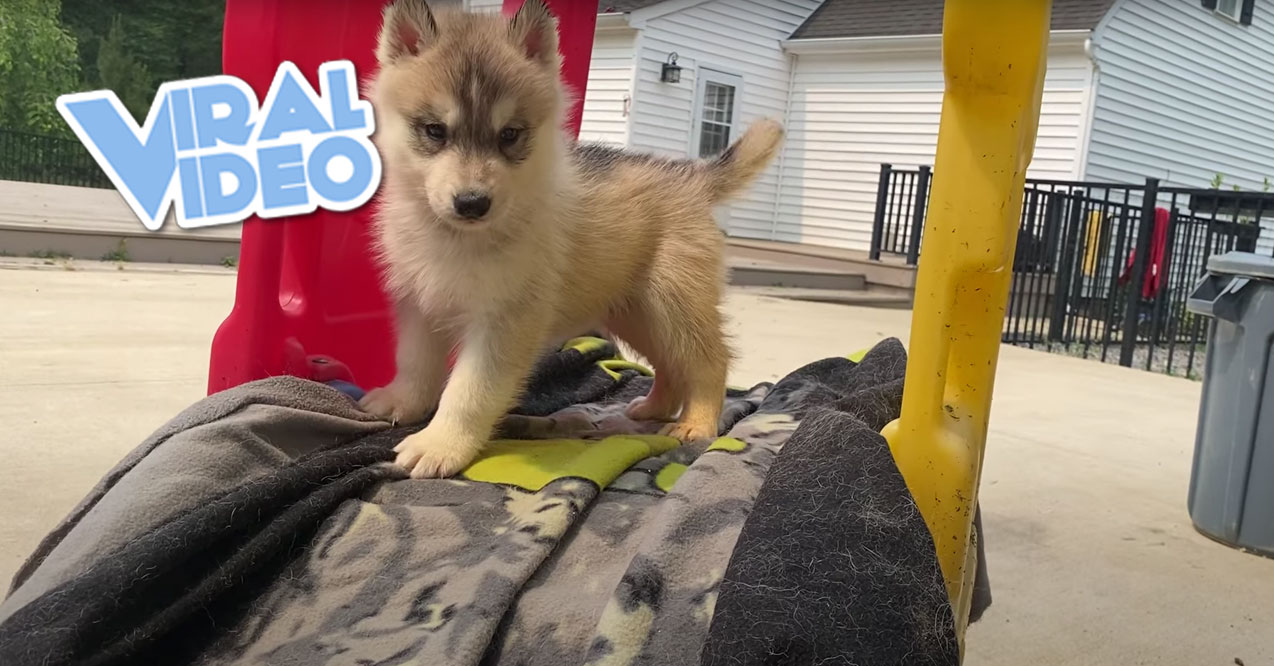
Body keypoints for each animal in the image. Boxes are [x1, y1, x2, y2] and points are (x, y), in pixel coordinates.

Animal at [361, 0, 784, 478]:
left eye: (510, 135)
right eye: (435, 130)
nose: (472, 203)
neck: (457, 238)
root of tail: (693, 175)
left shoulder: (502, 324)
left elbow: (467, 391)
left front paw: (440, 444)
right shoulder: (420, 305)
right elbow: (414, 364)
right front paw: (403, 402)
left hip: (675, 305)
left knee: (710, 360)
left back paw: (697, 424)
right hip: (635, 312)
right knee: (671, 364)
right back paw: (653, 408)